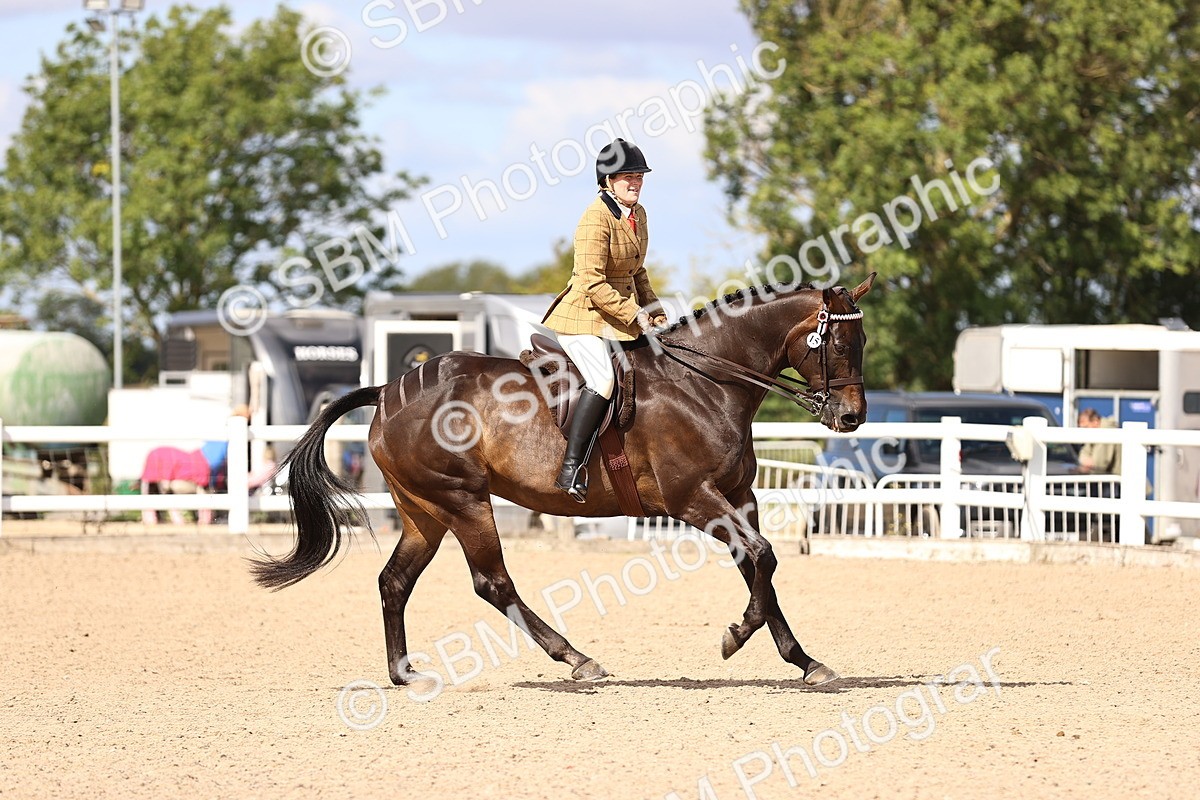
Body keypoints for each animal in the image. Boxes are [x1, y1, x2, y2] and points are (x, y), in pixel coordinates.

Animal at [252, 273, 875, 688]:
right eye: (838, 344)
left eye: (861, 343)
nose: (851, 418)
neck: (704, 382)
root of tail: (389, 390)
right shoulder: (693, 499)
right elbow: (762, 556)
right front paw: (753, 642)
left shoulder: (739, 498)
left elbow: (758, 563)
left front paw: (788, 654)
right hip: (464, 502)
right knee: (492, 584)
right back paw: (577, 659)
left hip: (423, 511)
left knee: (394, 581)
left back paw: (404, 674)